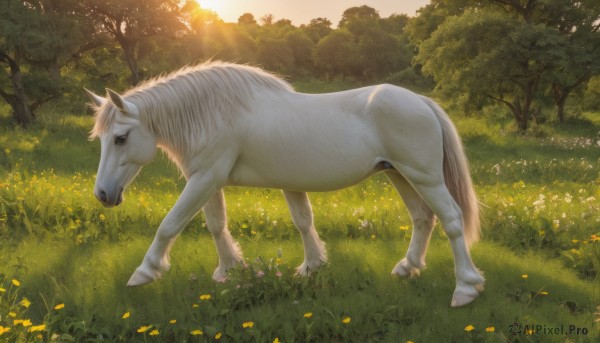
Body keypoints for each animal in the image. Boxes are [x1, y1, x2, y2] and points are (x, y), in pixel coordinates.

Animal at [86, 61, 486, 306]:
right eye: (102, 138)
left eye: (120, 138)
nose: (103, 194)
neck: (215, 112)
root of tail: (420, 101)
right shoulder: (213, 180)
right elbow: (231, 224)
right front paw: (233, 269)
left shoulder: (205, 178)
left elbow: (170, 225)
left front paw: (145, 272)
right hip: (398, 174)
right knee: (422, 218)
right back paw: (408, 267)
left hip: (423, 176)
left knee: (451, 220)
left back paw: (466, 288)